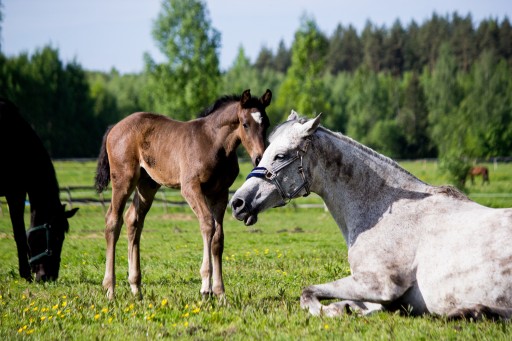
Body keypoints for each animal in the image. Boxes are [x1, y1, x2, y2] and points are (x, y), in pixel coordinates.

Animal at [95, 89, 272, 298]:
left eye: (266, 124)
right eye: (245, 124)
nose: (260, 158)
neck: (214, 143)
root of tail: (114, 127)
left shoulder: (220, 193)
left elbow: (218, 238)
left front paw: (220, 292)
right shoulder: (190, 187)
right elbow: (207, 225)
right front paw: (206, 288)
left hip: (147, 185)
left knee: (133, 220)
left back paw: (136, 288)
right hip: (124, 179)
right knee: (113, 221)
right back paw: (110, 289)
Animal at [231, 111, 512, 318]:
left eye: (280, 155)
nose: (237, 202)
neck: (382, 211)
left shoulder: (379, 284)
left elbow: (308, 293)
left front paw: (333, 311)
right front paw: (348, 309)